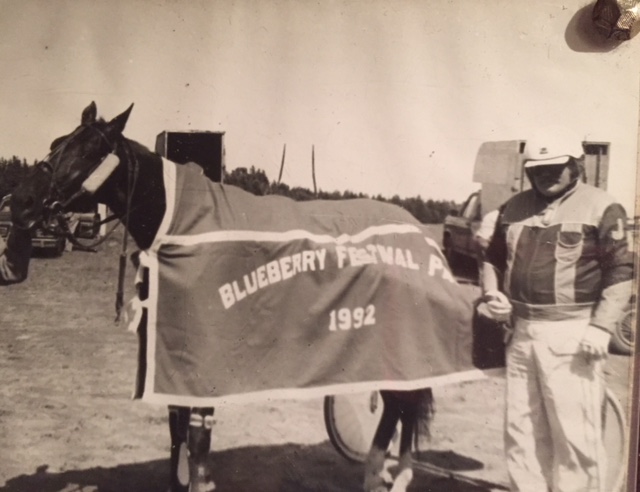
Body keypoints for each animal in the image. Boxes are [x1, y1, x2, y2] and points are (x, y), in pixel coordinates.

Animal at [11, 101, 450, 492]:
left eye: (89, 151)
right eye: (56, 143)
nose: (20, 202)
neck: (187, 231)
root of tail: (419, 234)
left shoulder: (206, 361)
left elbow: (197, 437)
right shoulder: (172, 355)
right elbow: (177, 431)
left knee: (402, 402)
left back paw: (396, 477)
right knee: (398, 404)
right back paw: (378, 474)